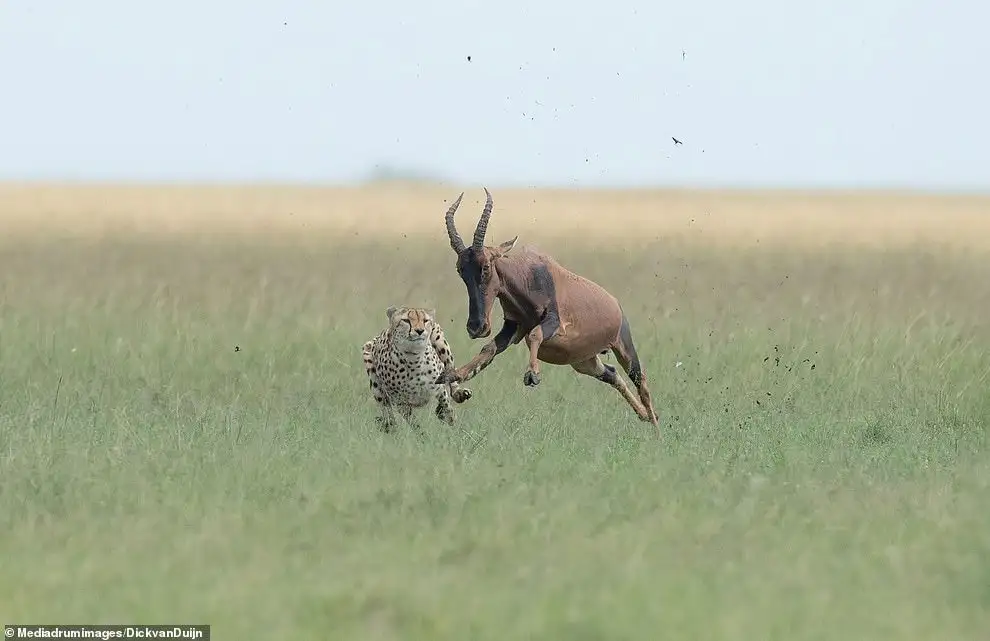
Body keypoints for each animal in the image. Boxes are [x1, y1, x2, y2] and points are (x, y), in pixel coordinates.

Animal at [362, 306, 474, 436]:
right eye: (406, 320)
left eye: (425, 320)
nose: (420, 330)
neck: (413, 358)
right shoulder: (401, 401)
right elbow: (413, 422)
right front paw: (422, 436)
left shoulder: (439, 388)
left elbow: (446, 405)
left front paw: (451, 421)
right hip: (370, 362)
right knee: (387, 412)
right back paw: (391, 428)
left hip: (440, 340)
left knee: (451, 371)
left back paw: (459, 394)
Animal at [438, 189, 664, 430]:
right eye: (460, 269)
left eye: (486, 266)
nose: (476, 326)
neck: (530, 274)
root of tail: (615, 304)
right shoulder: (513, 327)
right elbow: (488, 350)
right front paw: (455, 376)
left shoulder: (555, 322)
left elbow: (534, 335)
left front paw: (532, 375)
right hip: (584, 361)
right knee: (612, 374)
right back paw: (645, 416)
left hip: (623, 346)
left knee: (642, 383)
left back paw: (656, 428)